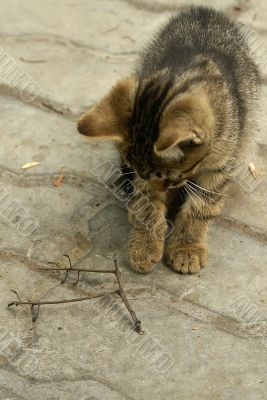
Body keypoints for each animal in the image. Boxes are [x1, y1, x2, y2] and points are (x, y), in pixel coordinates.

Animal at [76, 7, 260, 276]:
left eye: (170, 175)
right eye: (151, 176)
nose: (165, 188)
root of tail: (204, 10)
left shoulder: (219, 169)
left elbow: (201, 207)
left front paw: (187, 247)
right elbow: (148, 204)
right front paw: (145, 243)